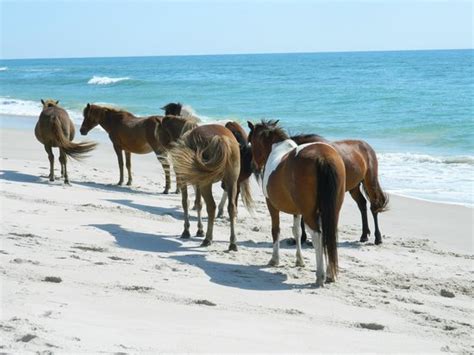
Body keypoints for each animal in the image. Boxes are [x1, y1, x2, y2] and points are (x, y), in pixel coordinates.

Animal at [168, 124, 254, 252]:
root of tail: (221, 139)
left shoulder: (184, 180)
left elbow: (186, 203)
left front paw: (187, 230)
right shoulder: (199, 181)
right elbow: (198, 203)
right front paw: (199, 230)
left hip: (206, 183)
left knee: (211, 207)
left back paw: (208, 239)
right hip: (232, 181)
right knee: (231, 208)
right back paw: (232, 242)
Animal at [248, 119, 344, 286]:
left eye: (252, 141)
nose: (254, 165)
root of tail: (323, 157)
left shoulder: (271, 205)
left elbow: (276, 230)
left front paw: (274, 259)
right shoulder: (297, 210)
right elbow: (297, 232)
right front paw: (299, 261)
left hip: (310, 213)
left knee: (317, 236)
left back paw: (320, 275)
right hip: (333, 211)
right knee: (331, 235)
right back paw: (331, 274)